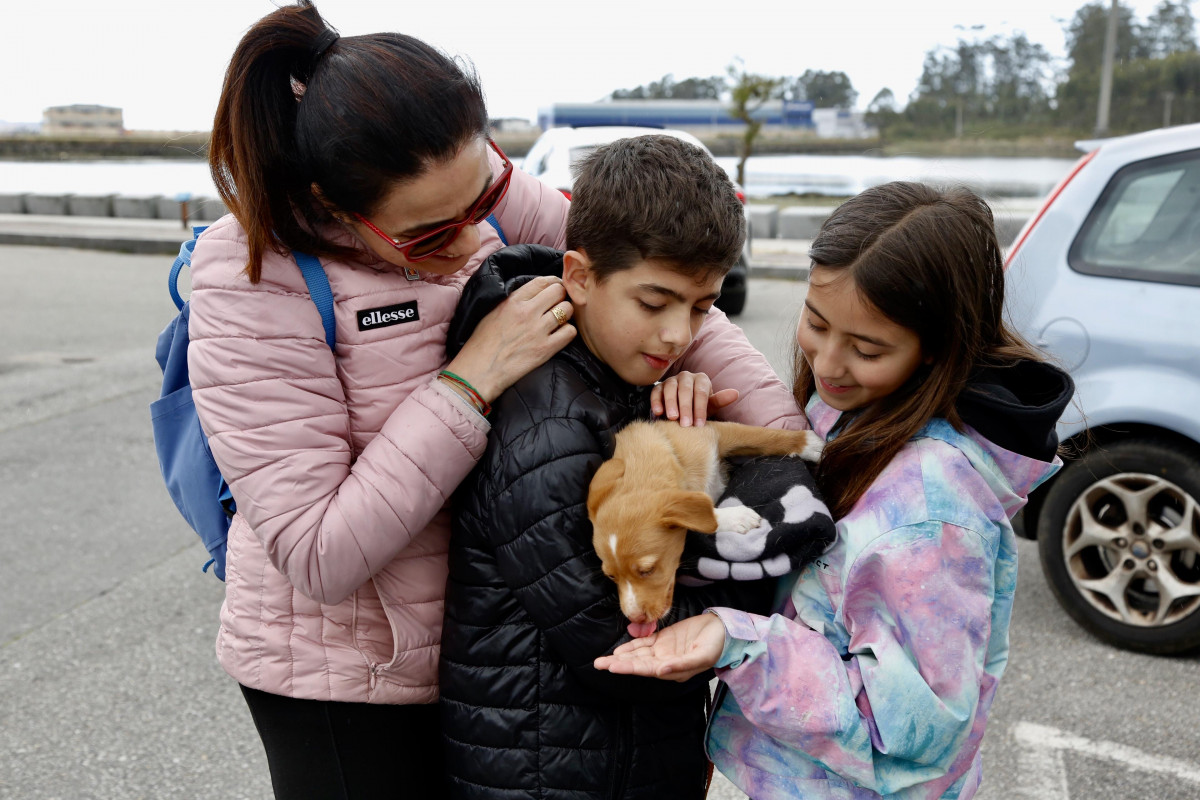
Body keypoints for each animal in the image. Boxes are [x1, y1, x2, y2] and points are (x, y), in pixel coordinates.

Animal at [585, 419, 820, 638]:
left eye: (647, 570)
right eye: (611, 577)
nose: (635, 619)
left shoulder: (716, 432)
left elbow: (760, 436)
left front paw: (808, 444)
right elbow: (706, 513)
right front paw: (736, 516)